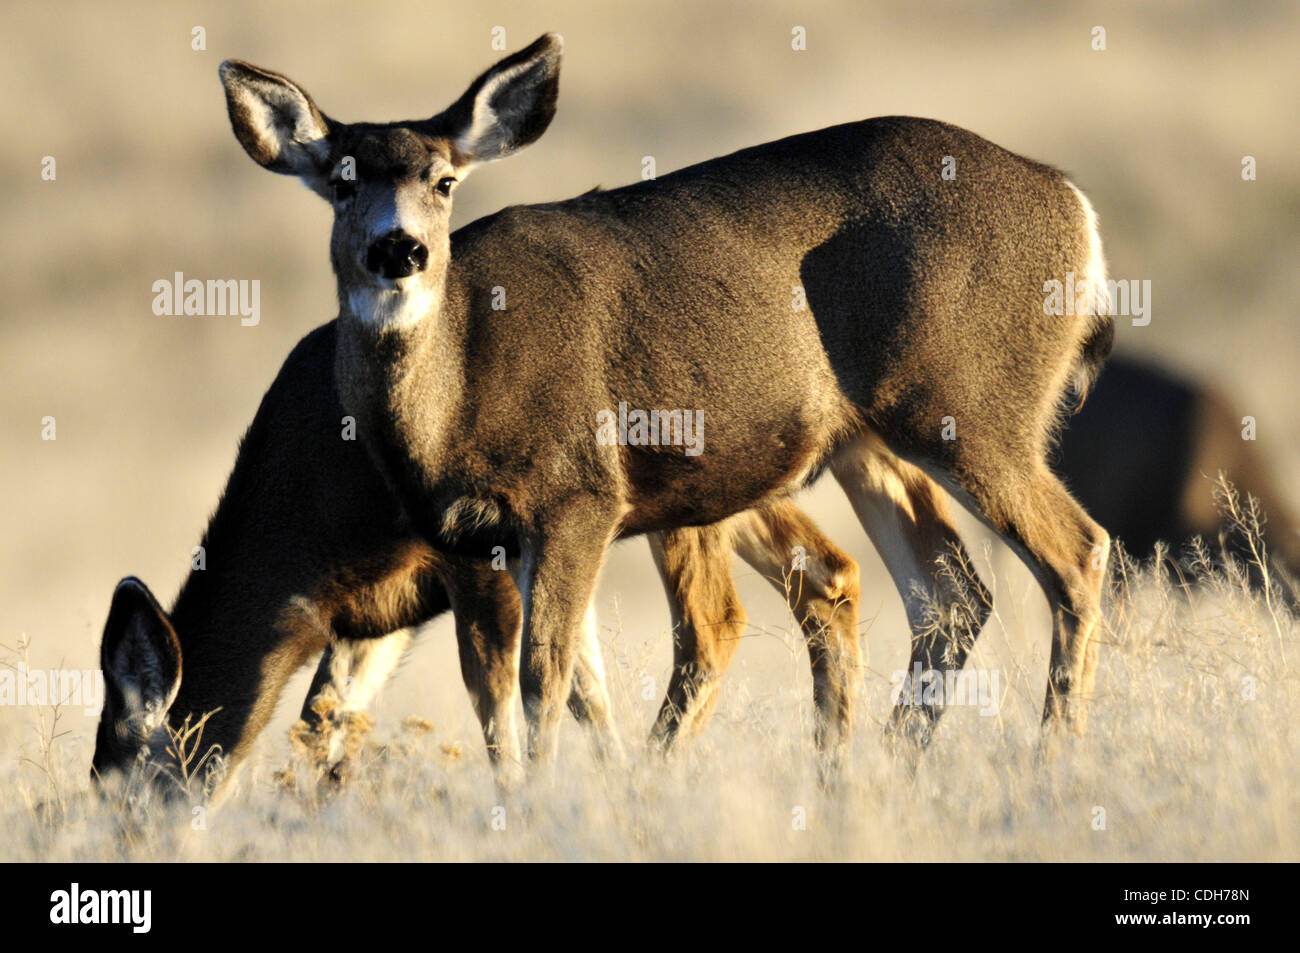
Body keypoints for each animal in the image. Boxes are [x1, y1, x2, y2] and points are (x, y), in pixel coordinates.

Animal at [93, 320, 860, 795]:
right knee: (830, 572)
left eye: (126, 785)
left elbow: (505, 693)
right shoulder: (374, 611)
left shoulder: (480, 556)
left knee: (721, 618)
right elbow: (328, 718)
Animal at [217, 32, 1114, 767]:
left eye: (443, 181)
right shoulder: (474, 541)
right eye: (341, 184)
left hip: (972, 406)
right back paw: (883, 772)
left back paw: (1052, 759)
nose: (399, 249)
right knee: (948, 591)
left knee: (1076, 549)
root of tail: (1077, 206)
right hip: (873, 442)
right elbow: (513, 693)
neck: (452, 407)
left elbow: (544, 681)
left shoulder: (577, 494)